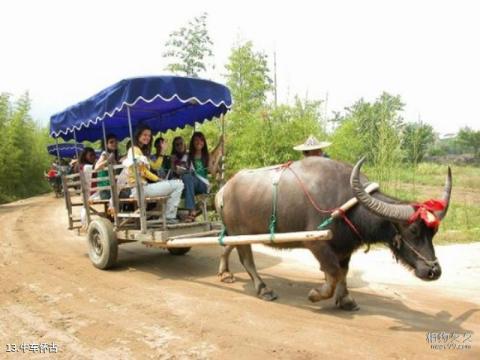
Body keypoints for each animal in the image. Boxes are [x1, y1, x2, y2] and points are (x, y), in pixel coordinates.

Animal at [216, 158, 452, 310]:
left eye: (434, 231)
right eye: (413, 230)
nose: (433, 271)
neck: (349, 206)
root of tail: (224, 190)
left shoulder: (344, 247)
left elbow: (343, 272)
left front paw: (346, 300)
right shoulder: (317, 244)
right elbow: (333, 271)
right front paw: (316, 295)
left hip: (237, 232)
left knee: (226, 245)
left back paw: (225, 273)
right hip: (240, 232)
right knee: (247, 260)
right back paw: (264, 289)